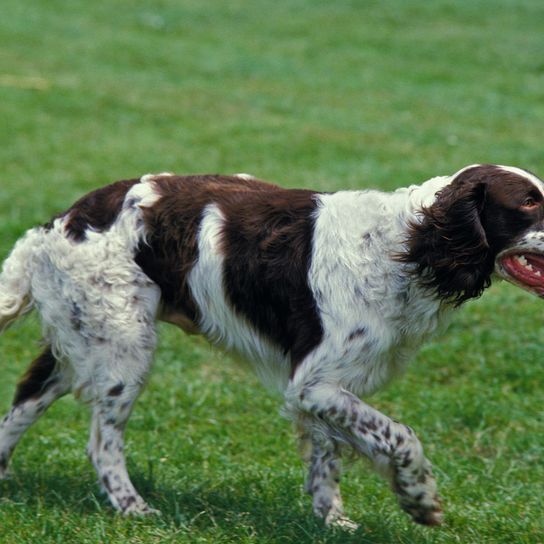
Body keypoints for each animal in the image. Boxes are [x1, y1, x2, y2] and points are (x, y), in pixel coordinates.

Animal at [1, 164, 544, 524]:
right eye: (528, 203)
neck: (405, 247)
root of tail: (55, 223)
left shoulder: (325, 387)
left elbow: (328, 458)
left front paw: (333, 522)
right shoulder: (312, 384)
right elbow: (400, 436)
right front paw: (419, 498)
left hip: (81, 342)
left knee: (22, 402)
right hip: (124, 349)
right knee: (102, 443)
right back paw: (134, 507)